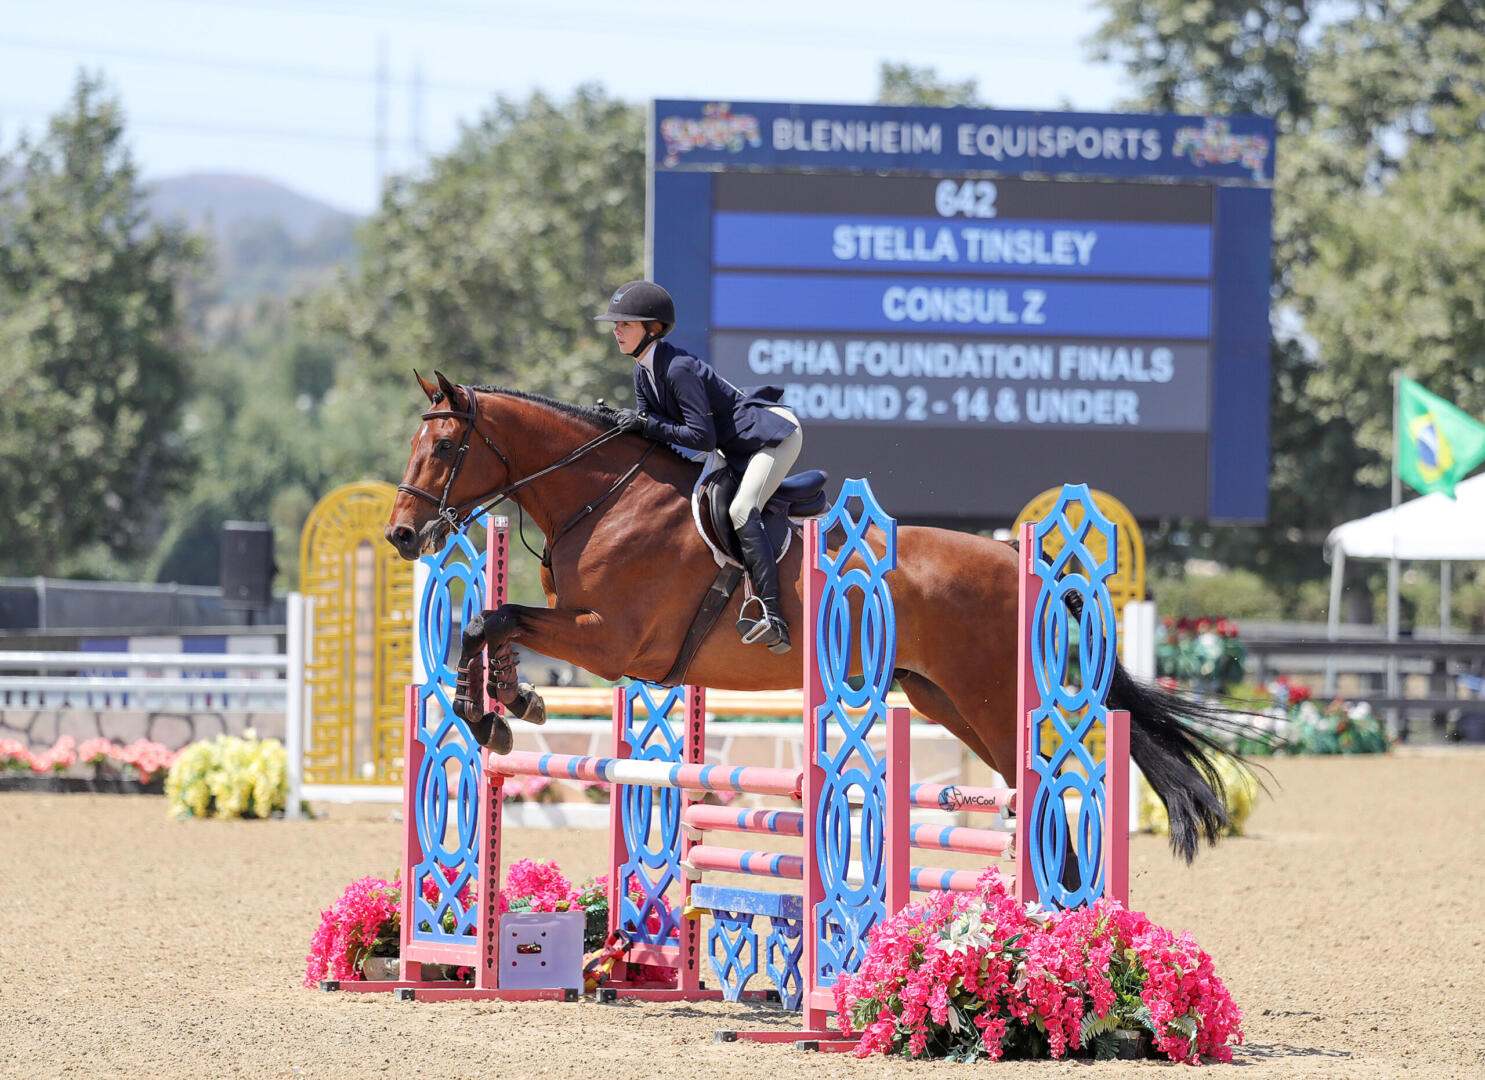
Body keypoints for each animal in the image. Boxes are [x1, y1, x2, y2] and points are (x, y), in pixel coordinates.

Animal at [383, 371, 1229, 861]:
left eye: (448, 445)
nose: (401, 535)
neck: (604, 495)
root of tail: (1022, 564)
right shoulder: (588, 632)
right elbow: (492, 621)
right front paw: (508, 704)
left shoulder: (616, 644)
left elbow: (490, 620)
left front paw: (490, 713)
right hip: (943, 701)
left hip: (991, 700)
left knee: (1051, 780)